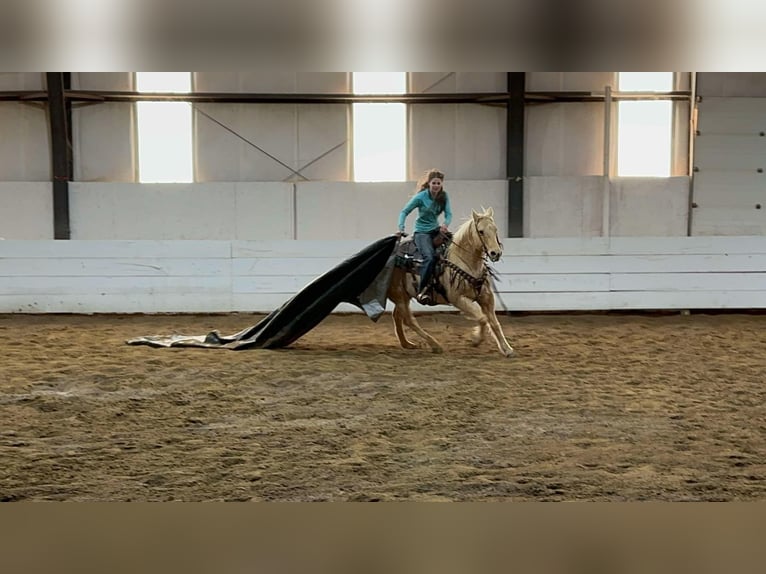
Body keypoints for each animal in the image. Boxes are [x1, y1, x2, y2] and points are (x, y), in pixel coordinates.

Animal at [390, 209, 516, 358]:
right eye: (481, 231)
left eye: (495, 229)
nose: (495, 253)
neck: (465, 262)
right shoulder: (458, 299)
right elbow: (482, 318)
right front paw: (476, 339)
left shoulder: (486, 298)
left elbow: (495, 323)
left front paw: (507, 349)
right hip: (399, 294)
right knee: (409, 320)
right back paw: (435, 345)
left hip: (404, 295)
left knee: (398, 317)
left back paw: (407, 344)